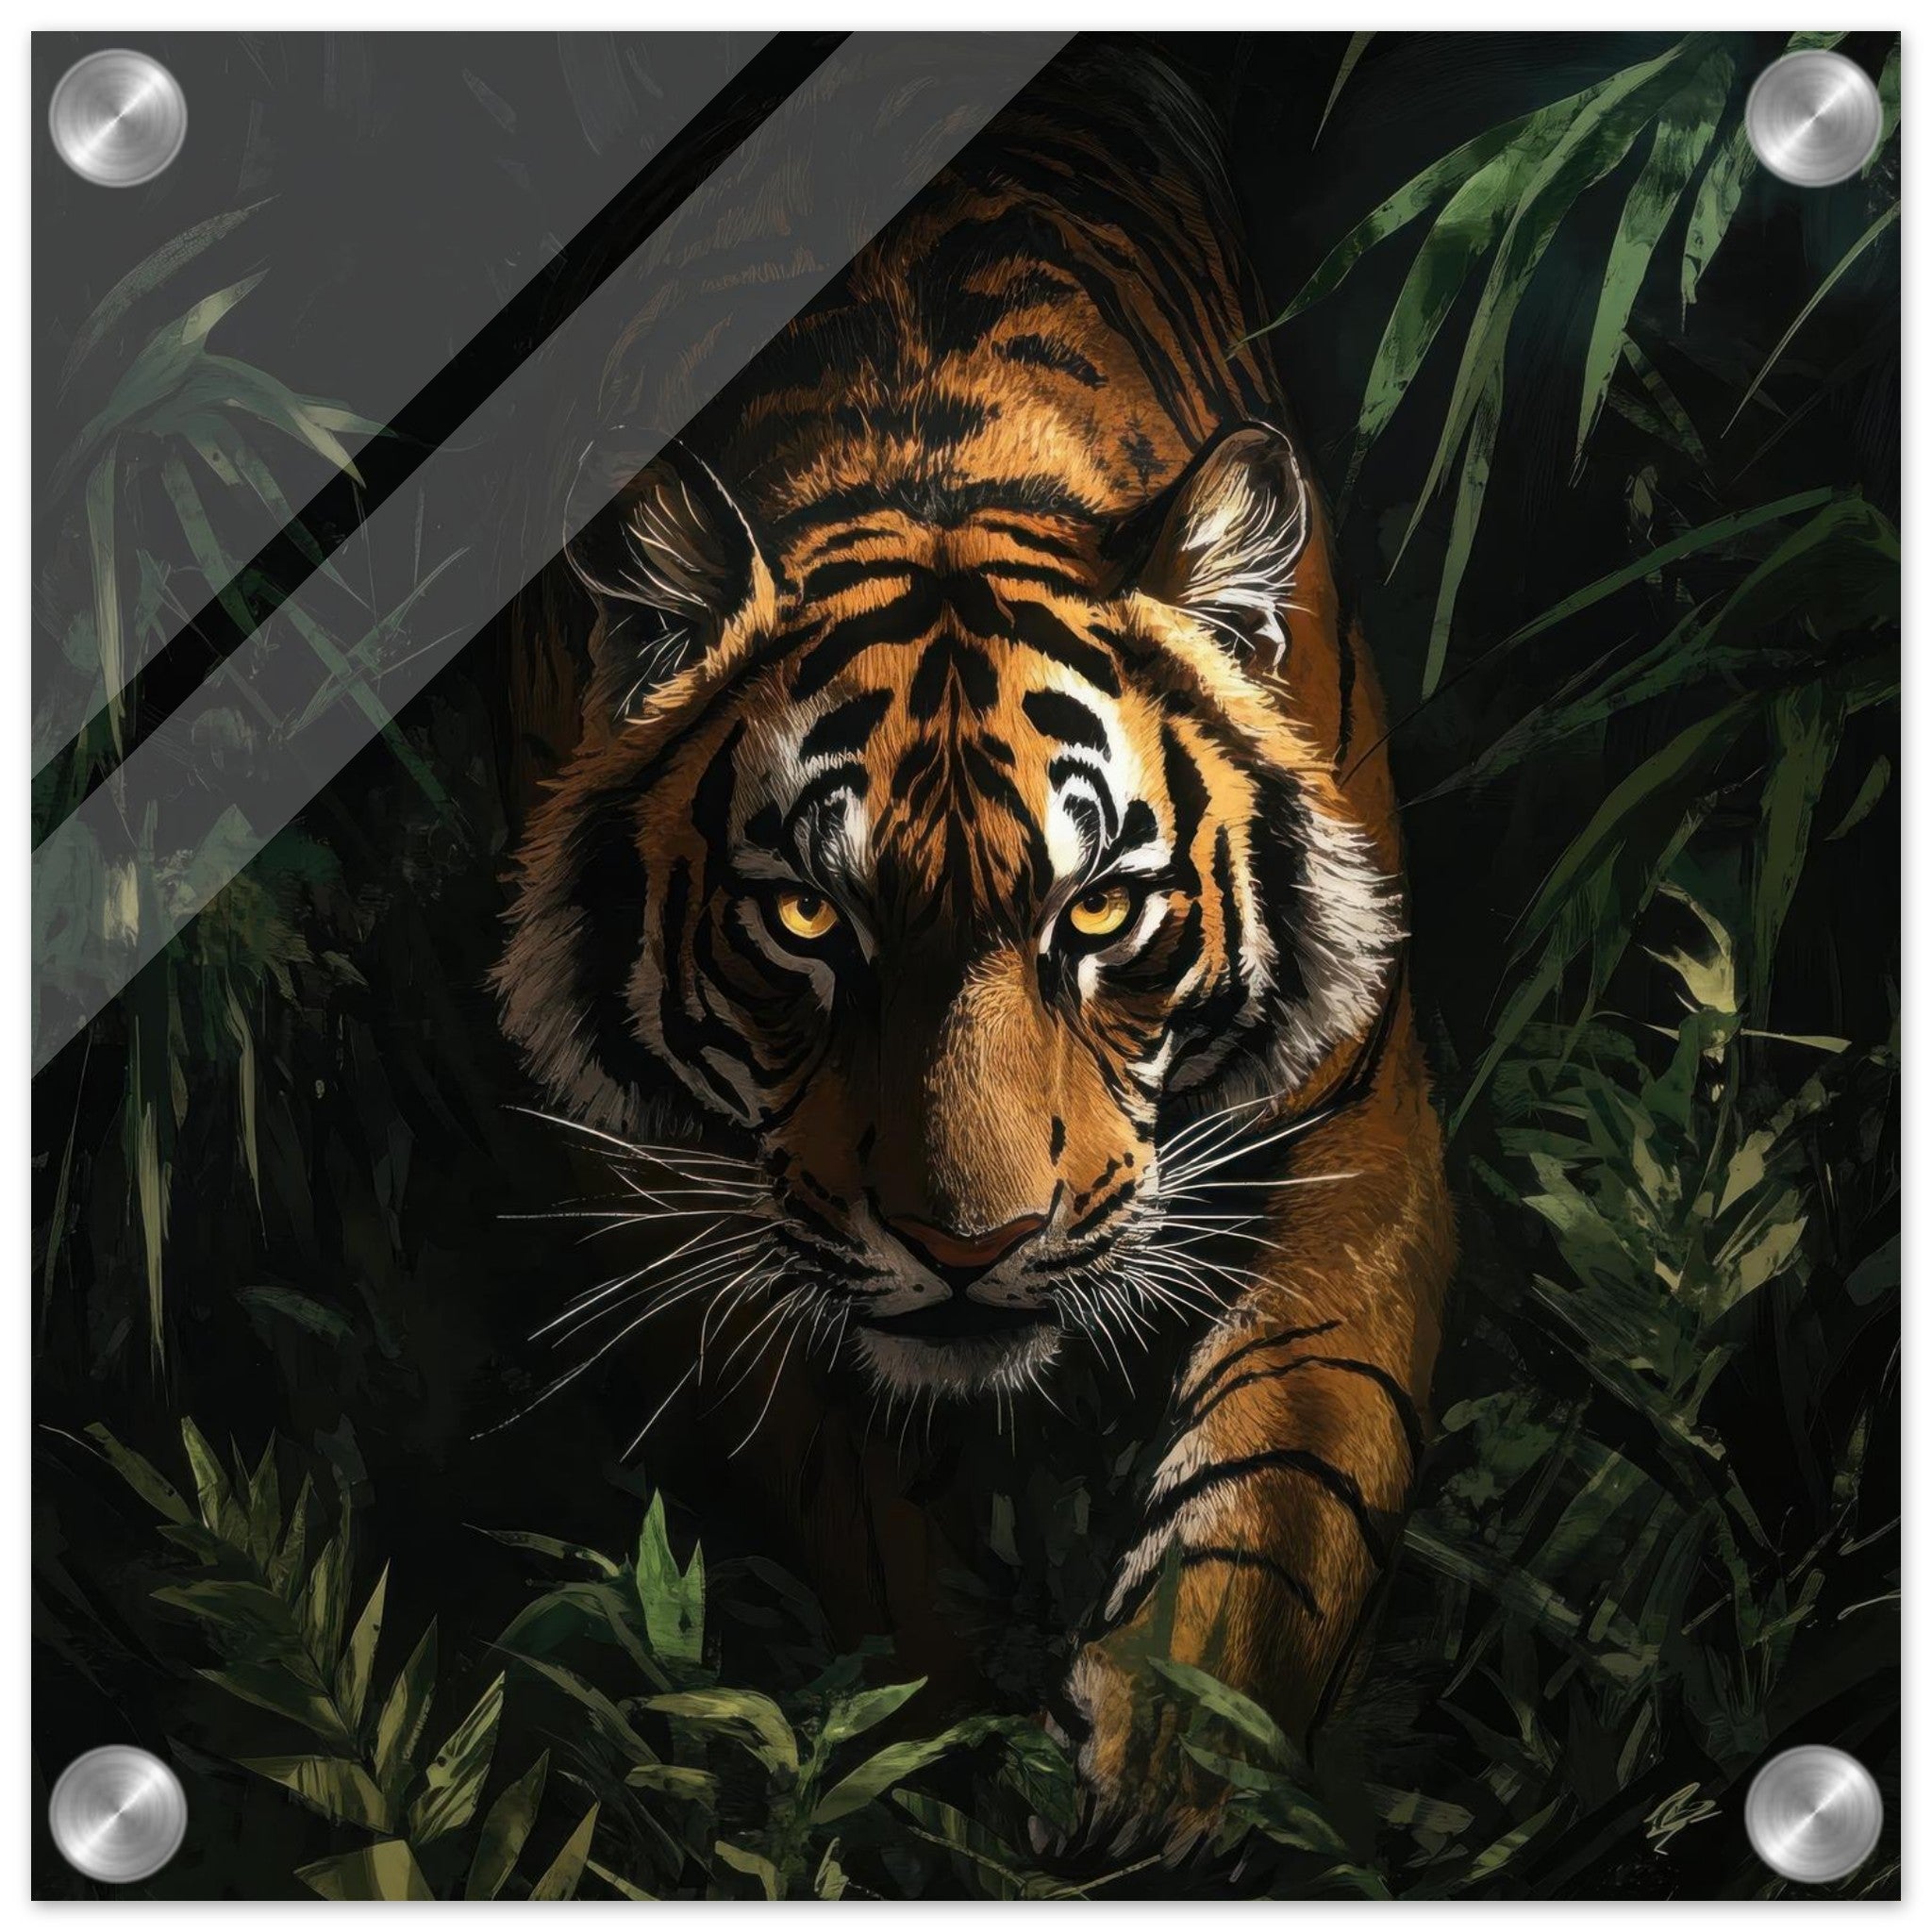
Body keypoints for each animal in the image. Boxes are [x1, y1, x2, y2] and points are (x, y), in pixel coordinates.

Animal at [497, 41, 1455, 1852]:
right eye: (810, 917)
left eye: (1099, 911)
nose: (969, 1244)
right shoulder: (672, 1195)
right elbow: (866, 1530)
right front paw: (923, 1769)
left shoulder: (1352, 1135)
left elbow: (1283, 1488)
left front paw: (1170, 1764)